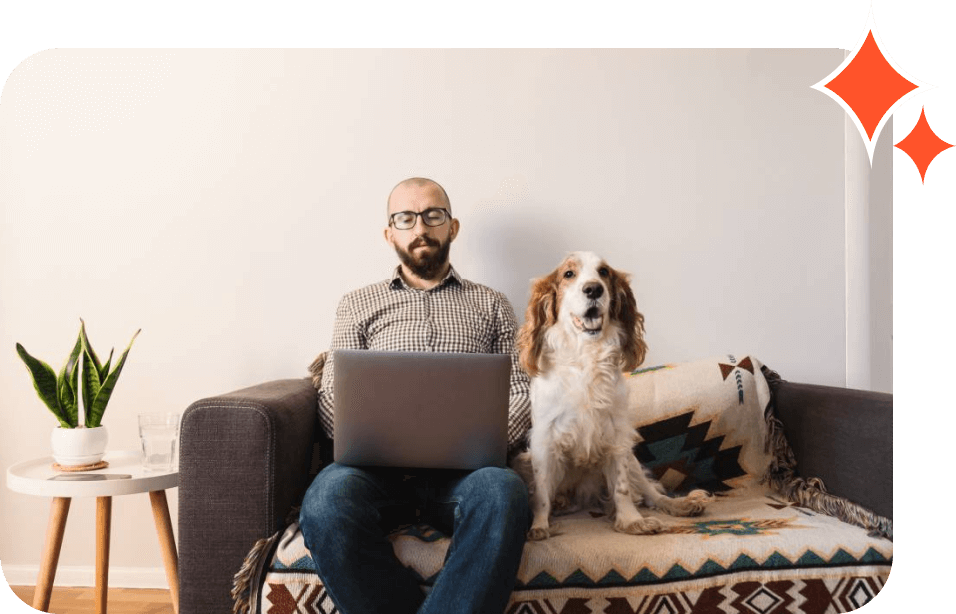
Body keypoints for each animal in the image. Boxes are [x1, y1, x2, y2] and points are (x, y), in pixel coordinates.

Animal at [516, 253, 708, 540]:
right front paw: (539, 526)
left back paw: (682, 505)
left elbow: (622, 488)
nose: (593, 289)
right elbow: (540, 494)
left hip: (633, 459)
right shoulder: (545, 439)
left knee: (652, 493)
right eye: (569, 274)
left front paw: (631, 521)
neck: (586, 355)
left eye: (604, 272)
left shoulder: (617, 435)